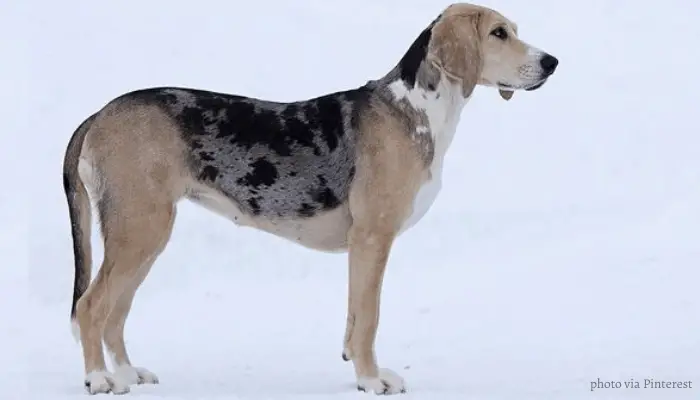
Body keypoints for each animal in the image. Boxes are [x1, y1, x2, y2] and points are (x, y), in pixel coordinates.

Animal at [63, 2, 560, 396]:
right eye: (499, 33)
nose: (552, 61)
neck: (416, 109)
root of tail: (98, 114)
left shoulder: (361, 248)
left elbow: (354, 317)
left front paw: (357, 369)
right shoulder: (373, 239)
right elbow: (370, 317)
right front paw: (372, 380)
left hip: (143, 236)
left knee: (115, 313)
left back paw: (127, 373)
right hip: (140, 230)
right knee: (91, 307)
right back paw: (99, 379)